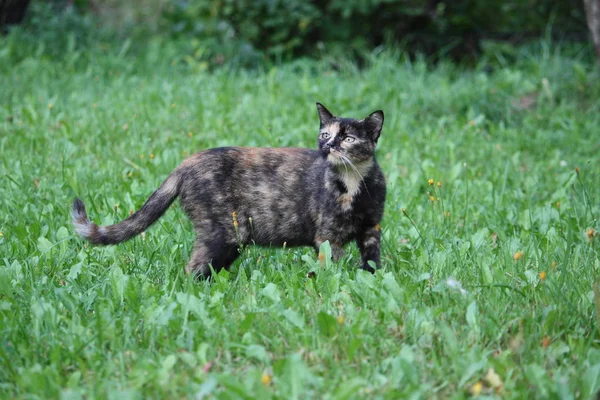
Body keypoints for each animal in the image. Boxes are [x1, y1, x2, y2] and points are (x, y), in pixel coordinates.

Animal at [72, 103, 386, 278]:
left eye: (347, 138)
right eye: (324, 134)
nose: (328, 145)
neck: (352, 183)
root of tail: (187, 162)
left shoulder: (372, 230)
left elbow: (372, 263)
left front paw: (372, 282)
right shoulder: (328, 238)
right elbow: (331, 270)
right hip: (223, 233)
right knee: (192, 270)